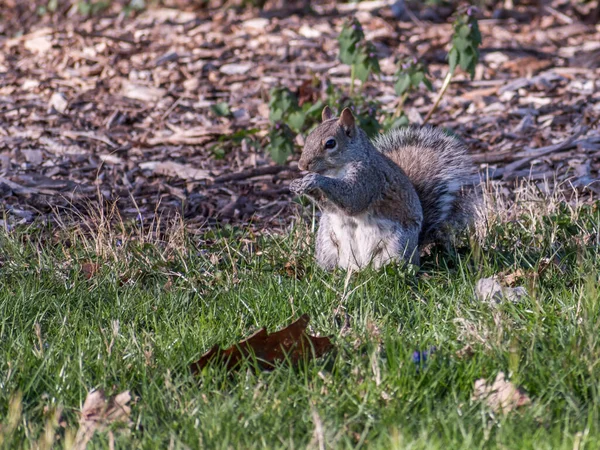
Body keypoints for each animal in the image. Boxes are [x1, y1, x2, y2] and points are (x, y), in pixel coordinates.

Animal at [288, 105, 476, 270]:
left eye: (330, 144)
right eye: (309, 137)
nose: (301, 165)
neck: (335, 170)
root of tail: (359, 267)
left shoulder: (370, 177)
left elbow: (353, 199)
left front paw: (316, 179)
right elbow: (332, 206)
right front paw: (297, 183)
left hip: (397, 246)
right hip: (327, 245)